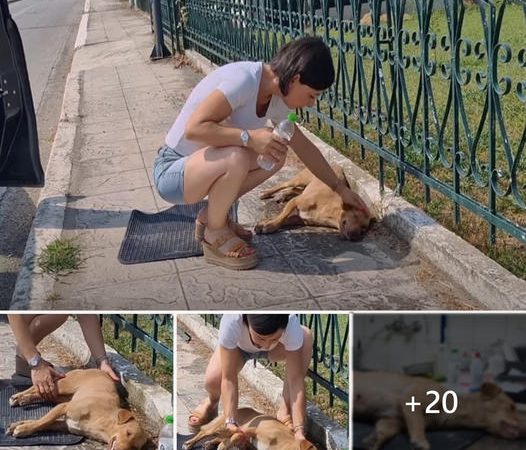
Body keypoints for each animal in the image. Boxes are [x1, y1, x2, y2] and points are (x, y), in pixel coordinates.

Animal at [6, 370, 148, 450]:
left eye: (135, 447)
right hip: (63, 387)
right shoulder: (64, 407)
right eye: (128, 433)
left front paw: (18, 425)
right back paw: (18, 396)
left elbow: (43, 422)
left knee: (41, 394)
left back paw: (24, 399)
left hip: (59, 396)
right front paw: (24, 429)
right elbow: (42, 421)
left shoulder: (65, 425)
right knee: (36, 387)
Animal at [184, 408, 320, 450]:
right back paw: (189, 443)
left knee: (219, 437)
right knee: (204, 432)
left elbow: (235, 438)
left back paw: (210, 443)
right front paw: (224, 445)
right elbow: (237, 435)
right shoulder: (252, 429)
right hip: (219, 425)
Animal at [354, 370, 524, 450]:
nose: (525, 431)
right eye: (512, 406)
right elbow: (418, 424)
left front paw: (374, 440)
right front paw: (421, 441)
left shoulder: (391, 420)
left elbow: (385, 431)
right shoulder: (412, 398)